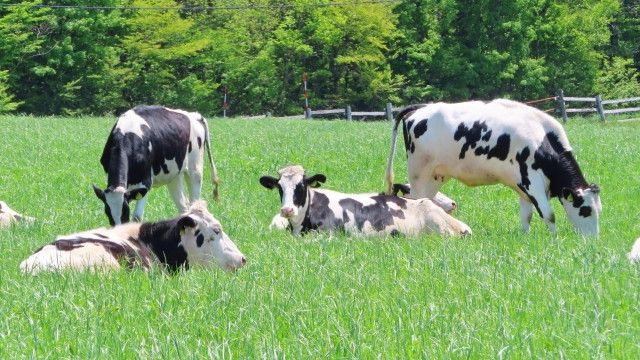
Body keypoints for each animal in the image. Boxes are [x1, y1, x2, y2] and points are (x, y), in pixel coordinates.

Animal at [91, 104, 219, 226]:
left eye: (125, 211)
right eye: (107, 212)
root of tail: (195, 115)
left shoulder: (146, 182)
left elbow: (137, 217)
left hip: (195, 169)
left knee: (195, 203)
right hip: (174, 175)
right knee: (184, 207)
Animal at [384, 100, 600, 238]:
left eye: (600, 209)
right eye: (586, 210)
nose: (593, 241)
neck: (542, 141)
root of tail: (421, 108)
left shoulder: (522, 187)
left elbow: (527, 216)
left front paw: (526, 238)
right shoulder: (532, 182)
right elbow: (549, 214)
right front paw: (555, 241)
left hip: (435, 176)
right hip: (419, 173)